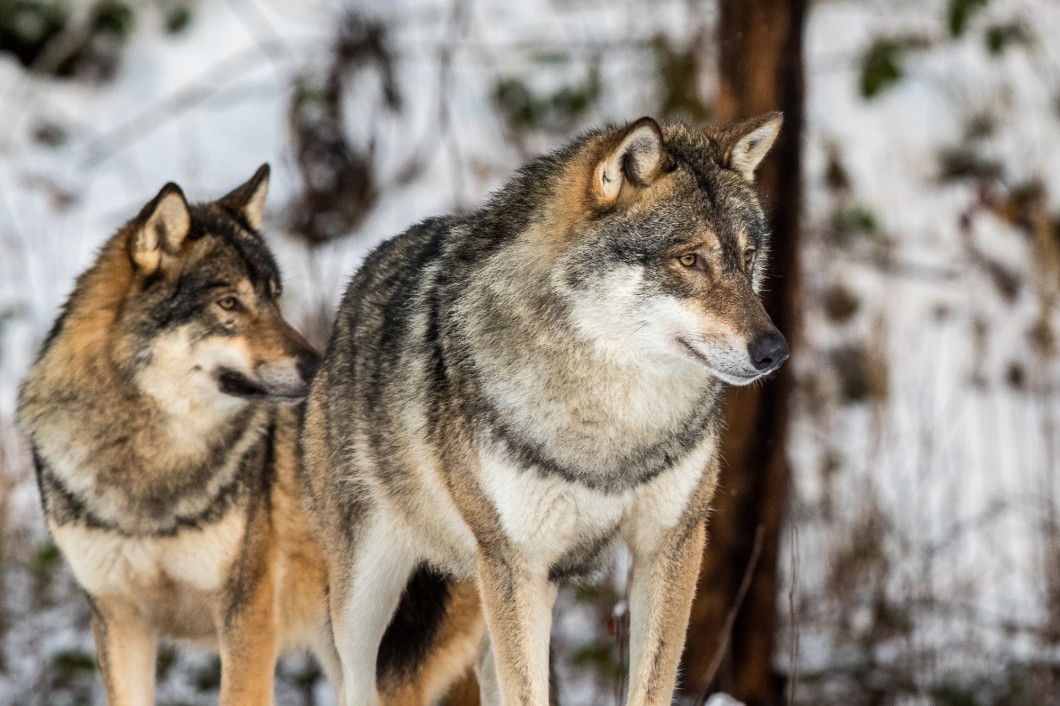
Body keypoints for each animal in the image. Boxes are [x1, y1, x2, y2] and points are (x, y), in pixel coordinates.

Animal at [18, 166, 483, 703]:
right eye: (229, 303)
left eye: (275, 298)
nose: (318, 368)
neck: (151, 468)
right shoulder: (117, 618)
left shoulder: (247, 615)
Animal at [298, 112, 788, 699]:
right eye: (689, 259)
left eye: (747, 258)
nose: (774, 350)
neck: (615, 419)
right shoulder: (515, 561)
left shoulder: (671, 543)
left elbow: (648, 686)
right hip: (367, 601)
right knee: (356, 682)